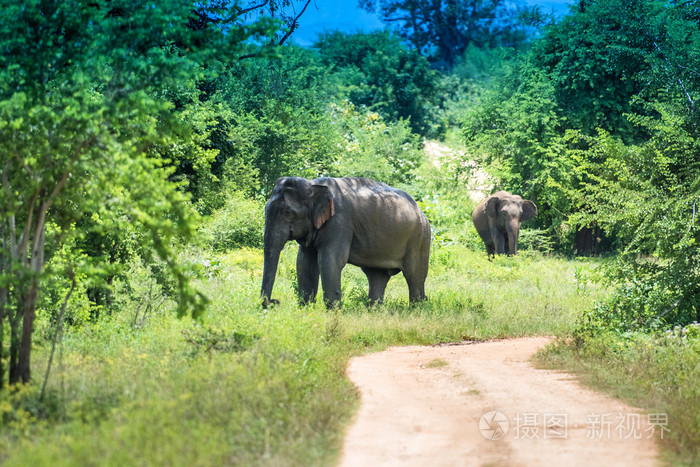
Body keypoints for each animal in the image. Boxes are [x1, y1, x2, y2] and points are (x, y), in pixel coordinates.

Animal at [260, 176, 430, 308]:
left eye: (288, 213)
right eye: (265, 208)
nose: (275, 302)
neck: (313, 185)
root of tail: (421, 212)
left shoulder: (340, 222)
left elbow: (330, 260)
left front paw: (333, 312)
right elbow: (304, 262)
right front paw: (306, 309)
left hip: (419, 239)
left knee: (414, 276)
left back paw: (416, 310)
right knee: (377, 276)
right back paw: (374, 311)